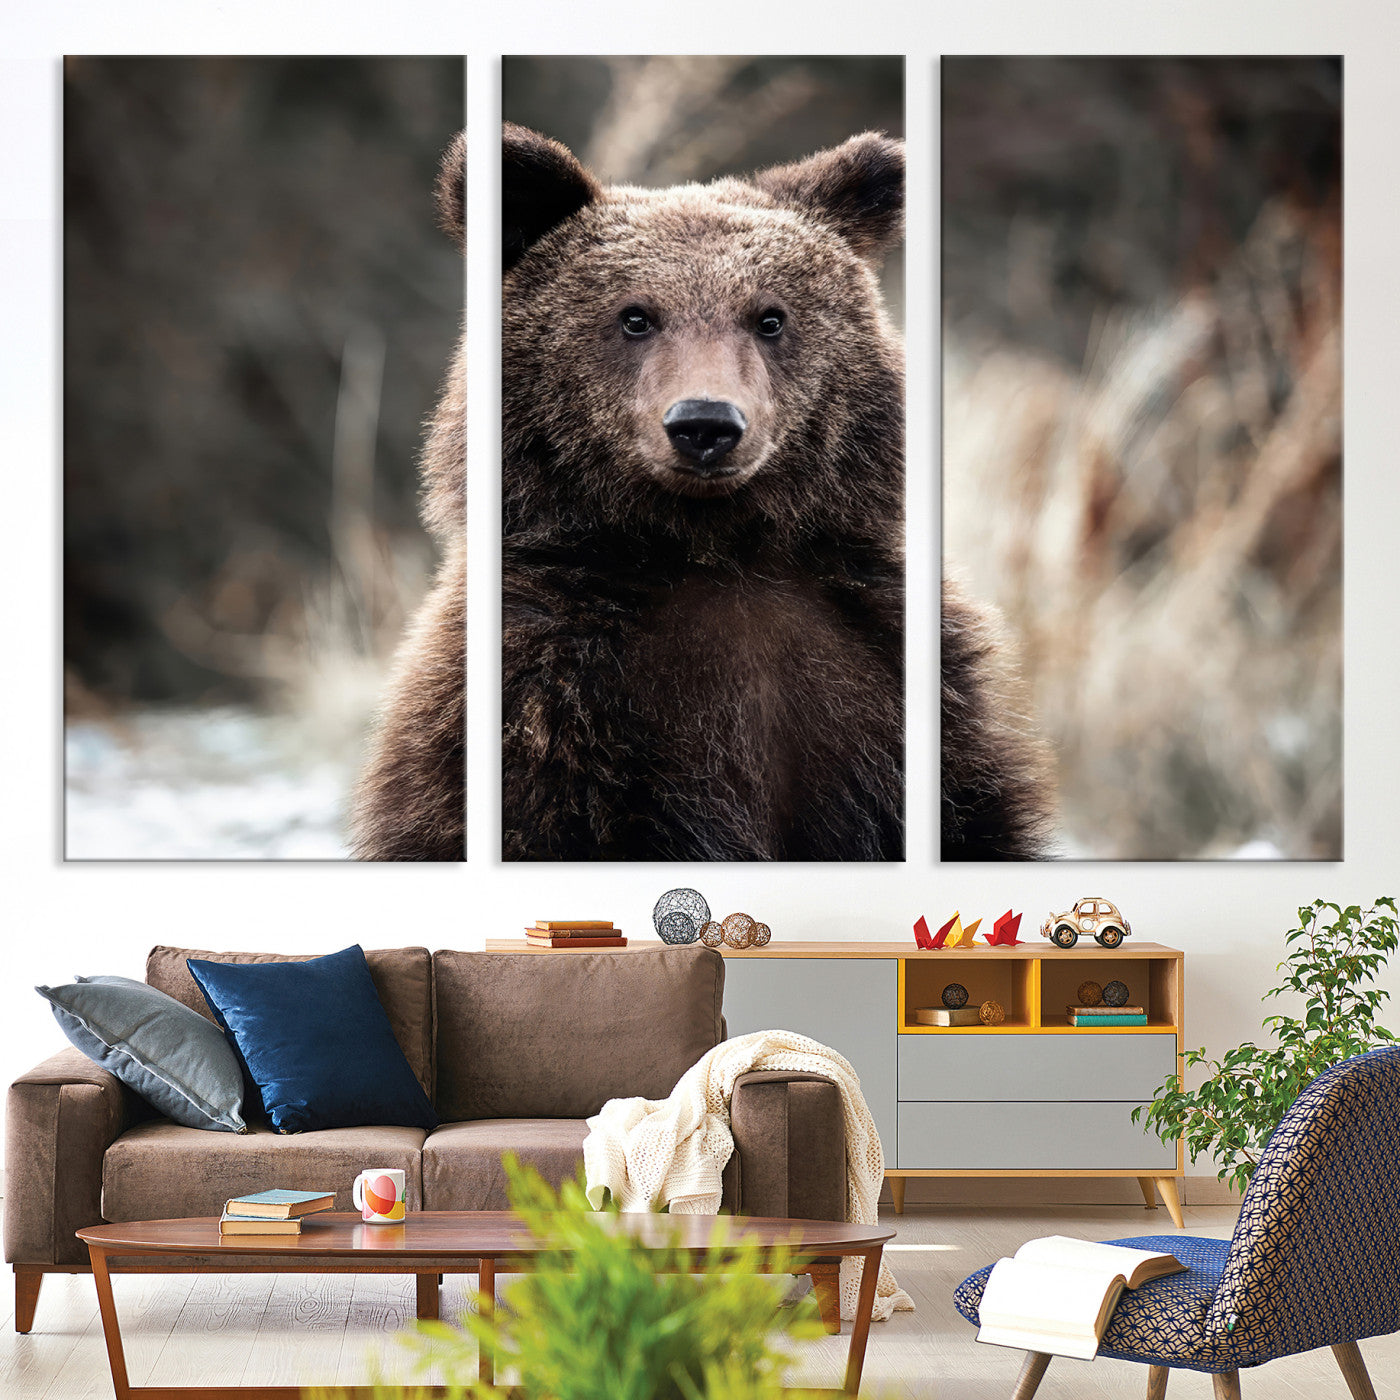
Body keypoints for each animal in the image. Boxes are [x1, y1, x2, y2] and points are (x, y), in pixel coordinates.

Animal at [501, 125, 907, 861]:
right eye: (635, 317)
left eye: (770, 318)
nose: (705, 424)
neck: (715, 550)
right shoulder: (550, 699)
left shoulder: (880, 663)